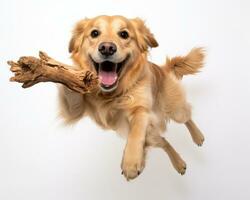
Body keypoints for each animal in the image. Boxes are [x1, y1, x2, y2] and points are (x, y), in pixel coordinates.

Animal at [58, 15, 205, 180]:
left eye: (124, 34)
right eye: (95, 33)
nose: (107, 48)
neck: (110, 94)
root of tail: (163, 69)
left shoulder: (140, 109)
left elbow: (136, 131)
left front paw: (131, 162)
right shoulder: (74, 110)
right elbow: (69, 93)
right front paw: (64, 71)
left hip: (174, 109)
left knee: (187, 116)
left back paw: (198, 137)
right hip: (152, 136)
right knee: (164, 141)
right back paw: (178, 164)